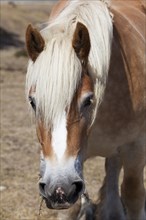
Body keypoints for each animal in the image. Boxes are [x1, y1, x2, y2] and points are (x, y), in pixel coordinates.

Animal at [24, 0, 145, 219]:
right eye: (33, 102)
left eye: (88, 100)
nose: (59, 188)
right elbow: (71, 208)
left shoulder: (136, 147)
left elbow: (134, 195)